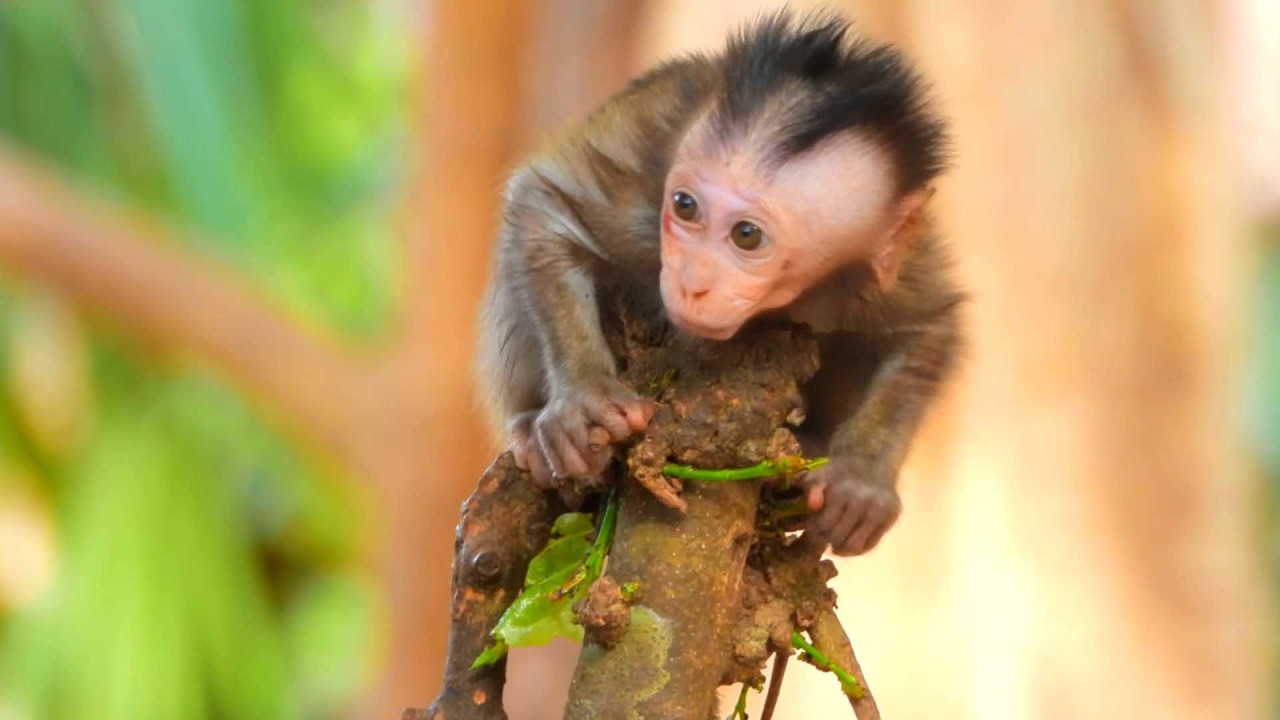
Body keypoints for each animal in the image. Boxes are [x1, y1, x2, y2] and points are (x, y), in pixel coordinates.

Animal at [476, 10, 964, 557]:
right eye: (685, 206)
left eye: (747, 236)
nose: (693, 283)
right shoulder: (642, 188)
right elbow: (544, 204)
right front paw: (583, 399)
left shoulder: (889, 264)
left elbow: (928, 328)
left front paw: (861, 479)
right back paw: (528, 429)